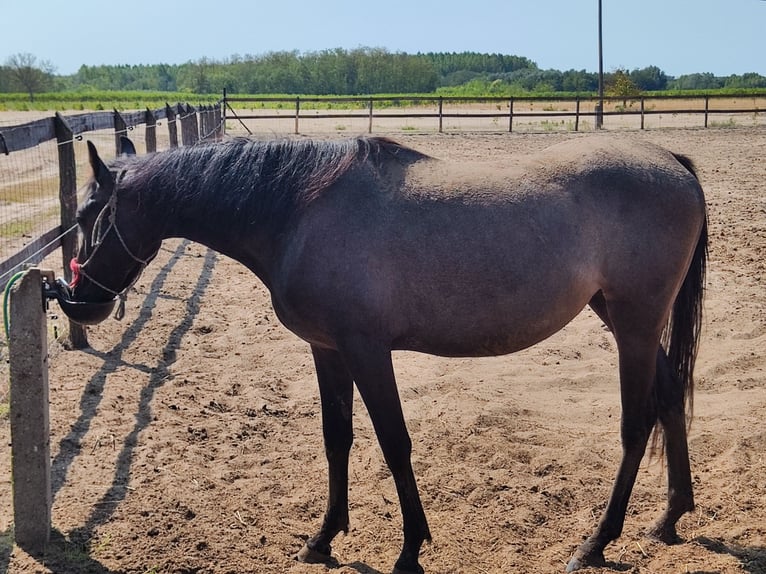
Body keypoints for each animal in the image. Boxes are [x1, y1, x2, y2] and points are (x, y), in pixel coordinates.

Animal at [67, 134, 707, 573]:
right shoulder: (327, 350)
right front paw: (323, 538)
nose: (78, 301)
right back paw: (670, 517)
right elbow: (338, 438)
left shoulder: (368, 351)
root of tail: (671, 160)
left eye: (87, 216)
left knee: (636, 424)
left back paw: (596, 543)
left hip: (634, 323)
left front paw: (410, 549)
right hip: (626, 321)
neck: (299, 210)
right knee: (670, 398)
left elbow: (394, 443)